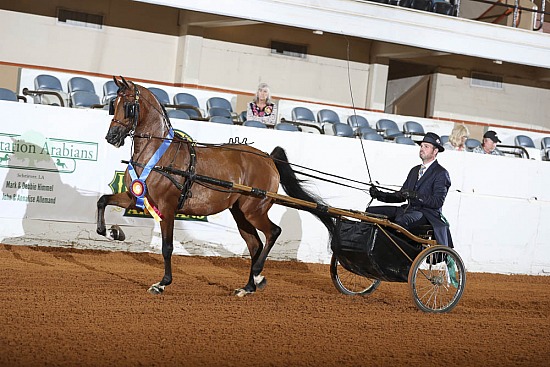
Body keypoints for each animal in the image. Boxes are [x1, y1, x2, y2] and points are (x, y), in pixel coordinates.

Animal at [97, 76, 336, 298]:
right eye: (114, 104)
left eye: (129, 106)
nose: (111, 136)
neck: (157, 154)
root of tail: (268, 158)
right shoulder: (135, 196)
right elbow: (103, 201)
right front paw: (112, 232)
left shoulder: (167, 208)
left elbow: (167, 247)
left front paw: (162, 283)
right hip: (240, 213)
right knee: (255, 245)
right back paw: (247, 287)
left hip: (254, 210)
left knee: (273, 233)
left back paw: (258, 276)